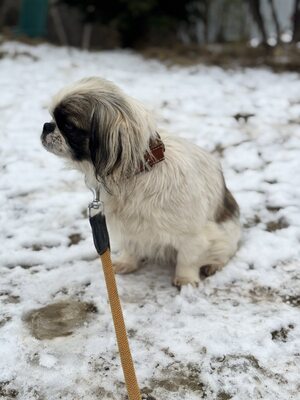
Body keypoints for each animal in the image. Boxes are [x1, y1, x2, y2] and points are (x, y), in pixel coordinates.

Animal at [41, 76, 240, 288]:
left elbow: (188, 258)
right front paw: (126, 263)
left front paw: (185, 279)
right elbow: (131, 247)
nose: (46, 126)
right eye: (52, 119)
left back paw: (213, 265)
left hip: (225, 239)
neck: (136, 172)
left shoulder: (193, 235)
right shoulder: (127, 229)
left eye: (69, 126)